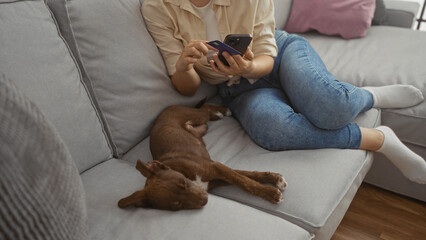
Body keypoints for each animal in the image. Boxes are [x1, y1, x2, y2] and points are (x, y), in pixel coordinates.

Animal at [118, 103, 288, 210]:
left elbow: (245, 180)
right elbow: (244, 177)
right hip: (201, 128)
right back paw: (218, 114)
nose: (205, 200)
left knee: (204, 108)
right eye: (176, 205)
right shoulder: (216, 177)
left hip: (196, 115)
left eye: (183, 183)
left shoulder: (216, 166)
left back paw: (223, 111)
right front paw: (273, 185)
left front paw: (273, 187)